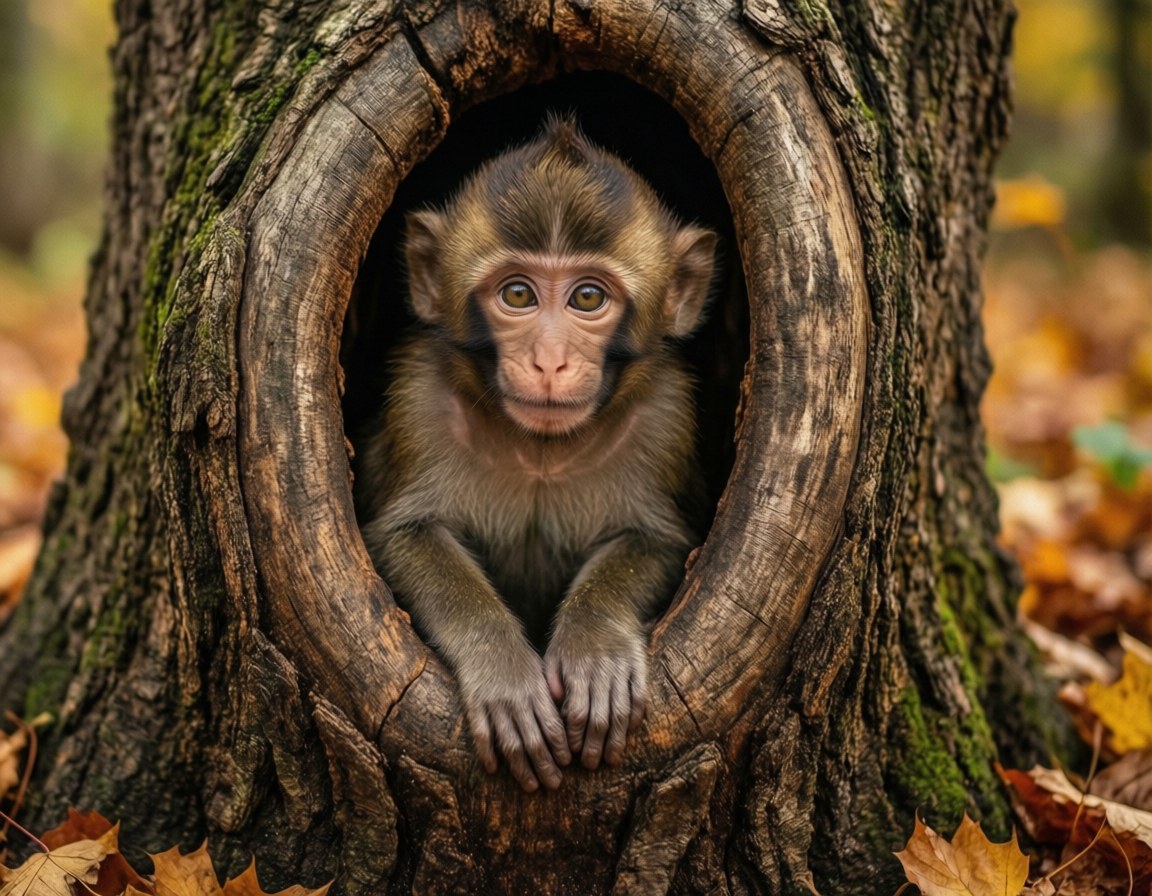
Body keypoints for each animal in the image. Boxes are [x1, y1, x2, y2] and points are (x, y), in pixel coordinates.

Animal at [355, 118, 715, 792]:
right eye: (519, 294)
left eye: (588, 299)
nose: (550, 361)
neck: (539, 450)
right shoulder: (420, 398)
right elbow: (404, 534)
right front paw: (504, 672)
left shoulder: (664, 416)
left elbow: (657, 540)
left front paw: (595, 650)